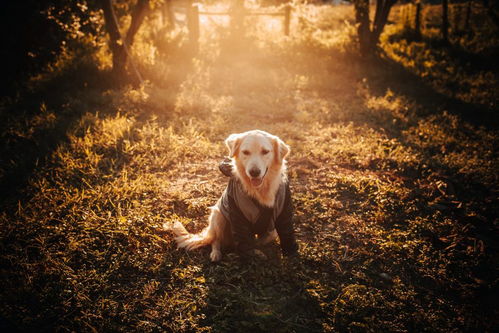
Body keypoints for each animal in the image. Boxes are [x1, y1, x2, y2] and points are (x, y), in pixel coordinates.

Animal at [170, 130, 298, 262]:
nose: (254, 172)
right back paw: (217, 253)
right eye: (245, 152)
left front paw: (291, 254)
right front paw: (249, 255)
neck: (260, 189)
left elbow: (285, 234)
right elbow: (243, 242)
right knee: (216, 240)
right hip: (218, 215)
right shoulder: (237, 212)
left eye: (265, 151)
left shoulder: (284, 212)